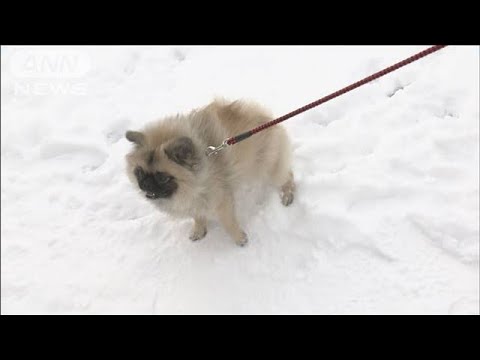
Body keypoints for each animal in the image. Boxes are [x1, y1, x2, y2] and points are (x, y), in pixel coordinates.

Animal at [125, 97, 294, 246]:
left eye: (162, 178)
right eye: (139, 172)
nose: (145, 184)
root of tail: (266, 118)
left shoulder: (221, 202)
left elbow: (229, 223)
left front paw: (239, 238)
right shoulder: (194, 201)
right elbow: (198, 217)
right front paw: (199, 231)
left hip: (267, 168)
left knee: (288, 176)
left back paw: (287, 195)